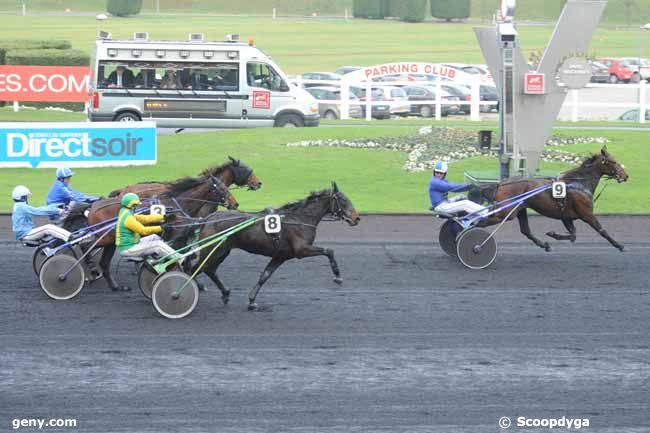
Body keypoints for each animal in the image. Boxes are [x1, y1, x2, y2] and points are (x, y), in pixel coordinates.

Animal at [180, 181, 360, 308]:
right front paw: (337, 276)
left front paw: (252, 300)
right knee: (195, 270)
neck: (299, 219)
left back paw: (225, 293)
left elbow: (265, 276)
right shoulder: (301, 250)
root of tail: (208, 218)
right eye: (343, 200)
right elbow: (329, 250)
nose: (357, 218)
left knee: (209, 270)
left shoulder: (281, 256)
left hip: (222, 251)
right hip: (212, 250)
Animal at [478, 147, 624, 251]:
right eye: (614, 162)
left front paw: (553, 234)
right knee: (482, 222)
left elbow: (573, 235)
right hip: (506, 213)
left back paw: (544, 245)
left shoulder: (566, 216)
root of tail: (501, 184)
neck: (579, 184)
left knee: (526, 231)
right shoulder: (586, 214)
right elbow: (601, 230)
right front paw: (619, 245)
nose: (625, 175)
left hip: (519, 210)